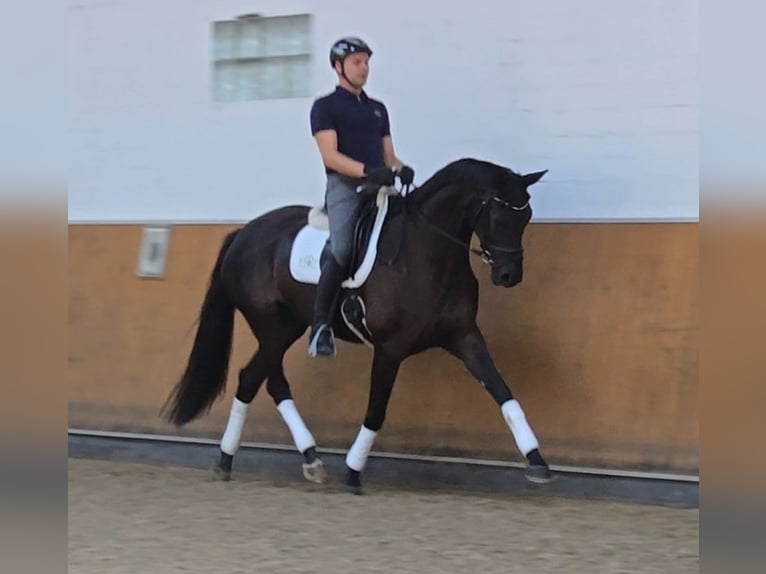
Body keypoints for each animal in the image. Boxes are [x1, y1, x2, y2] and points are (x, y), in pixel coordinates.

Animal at [160, 157, 552, 493]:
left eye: (527, 216)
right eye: (499, 215)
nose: (509, 275)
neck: (426, 253)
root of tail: (242, 234)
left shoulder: (464, 336)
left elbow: (502, 390)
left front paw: (537, 462)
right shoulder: (390, 349)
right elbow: (376, 410)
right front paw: (353, 472)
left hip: (287, 327)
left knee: (253, 380)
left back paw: (251, 460)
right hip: (270, 326)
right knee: (268, 381)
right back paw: (287, 459)